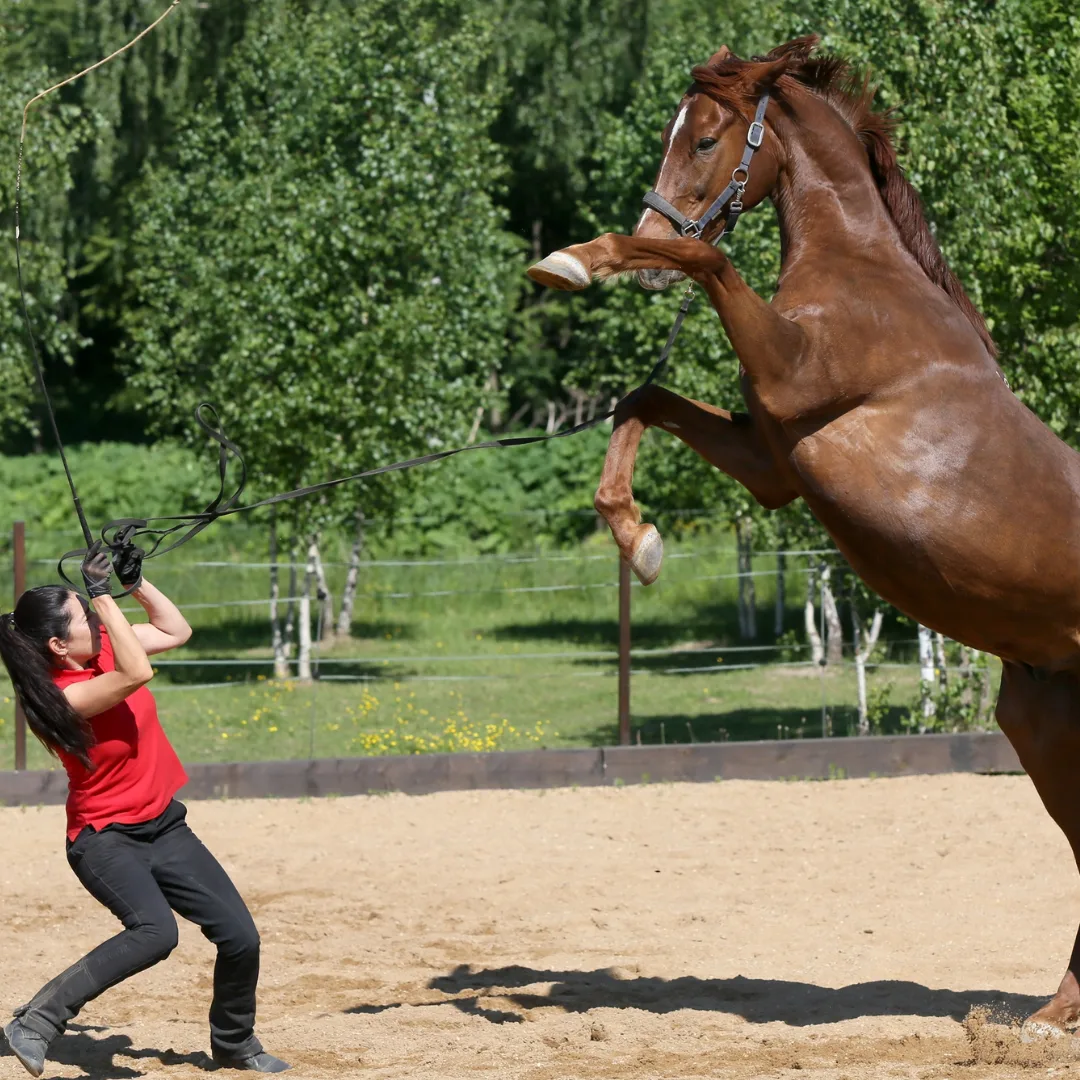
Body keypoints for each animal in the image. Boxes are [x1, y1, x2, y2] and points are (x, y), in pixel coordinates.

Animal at [526, 35, 1080, 1038]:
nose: (653, 222)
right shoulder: (770, 457)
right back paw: (1051, 1014)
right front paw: (639, 539)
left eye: (706, 139)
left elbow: (708, 271)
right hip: (1044, 723)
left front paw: (578, 260)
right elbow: (641, 399)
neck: (863, 272)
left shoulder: (789, 380)